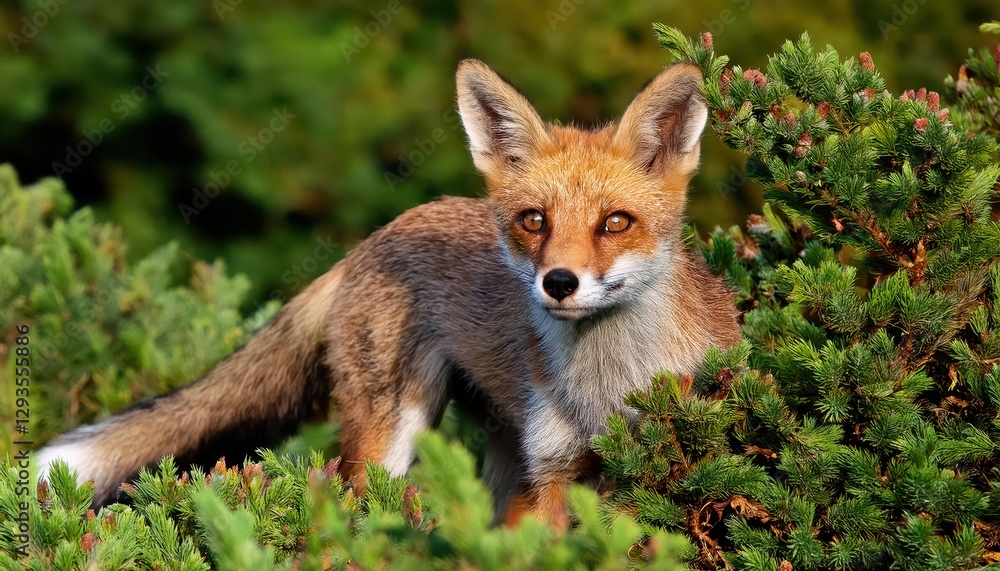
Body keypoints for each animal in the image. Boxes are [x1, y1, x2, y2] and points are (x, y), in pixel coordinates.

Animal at [37, 59, 741, 526]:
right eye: (534, 221)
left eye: (615, 223)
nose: (559, 283)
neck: (607, 389)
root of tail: (375, 236)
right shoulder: (551, 474)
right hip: (391, 438)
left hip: (496, 449)